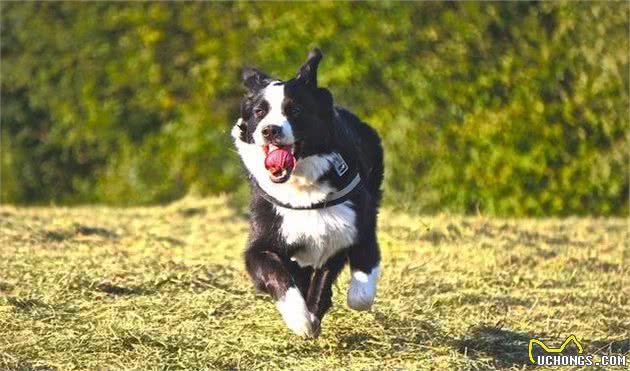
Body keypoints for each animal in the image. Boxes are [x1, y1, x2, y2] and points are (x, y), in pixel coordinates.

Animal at [231, 48, 382, 338]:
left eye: (295, 110)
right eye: (259, 111)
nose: (270, 130)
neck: (302, 186)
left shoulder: (356, 224)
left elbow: (359, 290)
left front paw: (320, 309)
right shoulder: (262, 242)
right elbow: (279, 276)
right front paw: (300, 318)